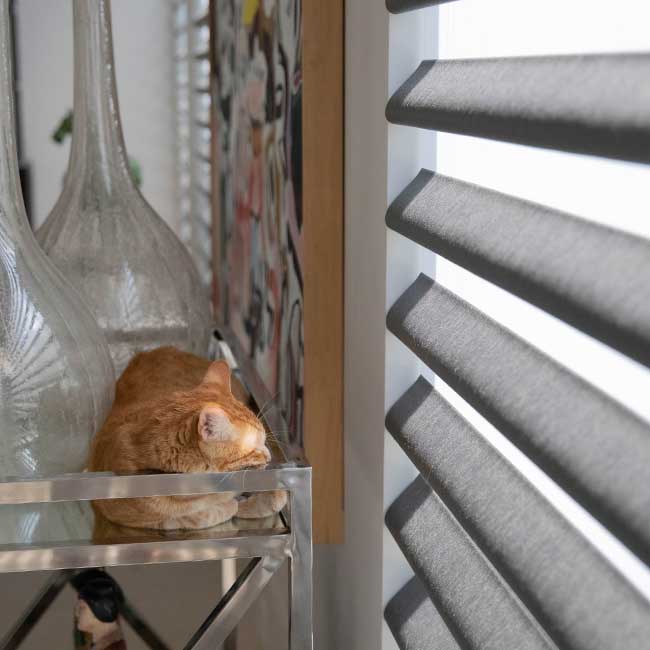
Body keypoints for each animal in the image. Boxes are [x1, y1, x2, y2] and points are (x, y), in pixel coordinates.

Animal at [87, 346, 284, 528]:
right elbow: (194, 517)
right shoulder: (120, 513)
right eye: (254, 447)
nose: (269, 456)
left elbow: (277, 497)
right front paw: (231, 506)